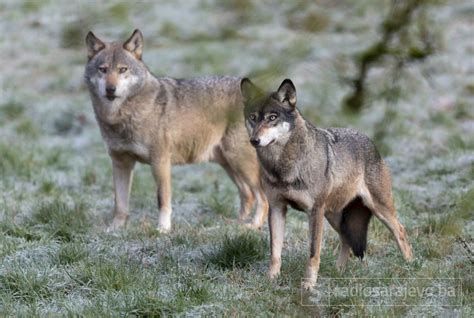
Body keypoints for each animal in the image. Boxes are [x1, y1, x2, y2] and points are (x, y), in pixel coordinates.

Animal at [84, 29, 268, 232]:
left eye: (123, 69)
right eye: (103, 69)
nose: (111, 89)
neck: (121, 116)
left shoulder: (160, 162)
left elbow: (162, 199)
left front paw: (163, 229)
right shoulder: (120, 162)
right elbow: (120, 203)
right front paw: (115, 229)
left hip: (240, 162)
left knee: (262, 197)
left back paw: (253, 226)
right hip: (229, 164)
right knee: (247, 195)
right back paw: (235, 225)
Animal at [241, 78, 412, 290]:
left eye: (272, 117)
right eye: (253, 117)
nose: (254, 140)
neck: (284, 167)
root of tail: (371, 142)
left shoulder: (314, 212)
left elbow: (313, 252)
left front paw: (308, 286)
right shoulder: (277, 208)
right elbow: (275, 252)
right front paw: (271, 280)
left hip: (377, 208)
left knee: (401, 231)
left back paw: (410, 266)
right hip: (334, 216)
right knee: (346, 240)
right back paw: (339, 272)